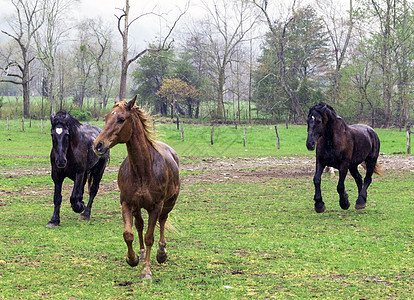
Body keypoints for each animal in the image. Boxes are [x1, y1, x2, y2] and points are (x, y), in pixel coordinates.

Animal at [93, 95, 180, 278]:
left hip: (168, 204)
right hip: (138, 207)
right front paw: (132, 258)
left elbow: (150, 237)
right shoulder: (127, 203)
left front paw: (146, 269)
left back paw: (161, 253)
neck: (143, 169)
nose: (98, 145)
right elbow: (128, 233)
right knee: (139, 225)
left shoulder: (156, 206)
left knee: (162, 221)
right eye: (106, 118)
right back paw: (140, 253)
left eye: (121, 119)